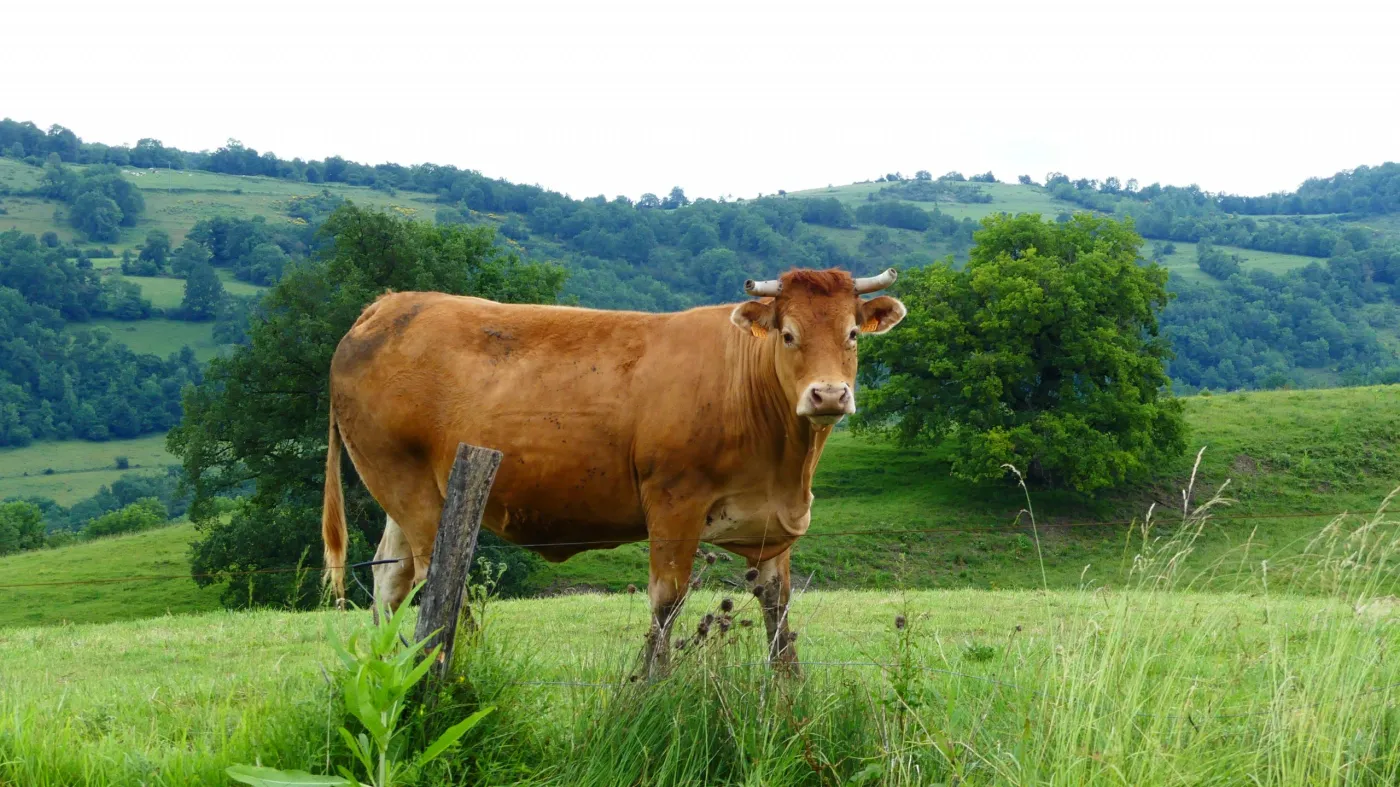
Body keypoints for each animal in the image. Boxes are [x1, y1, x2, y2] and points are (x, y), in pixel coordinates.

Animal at [321, 267, 906, 675]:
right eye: (787, 334)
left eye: (853, 334)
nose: (828, 394)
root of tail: (389, 304)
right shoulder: (674, 502)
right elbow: (667, 601)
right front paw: (653, 686)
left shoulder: (771, 523)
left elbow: (777, 608)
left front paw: (790, 695)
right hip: (410, 486)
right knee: (440, 583)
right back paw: (457, 666)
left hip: (405, 496)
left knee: (390, 579)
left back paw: (387, 674)